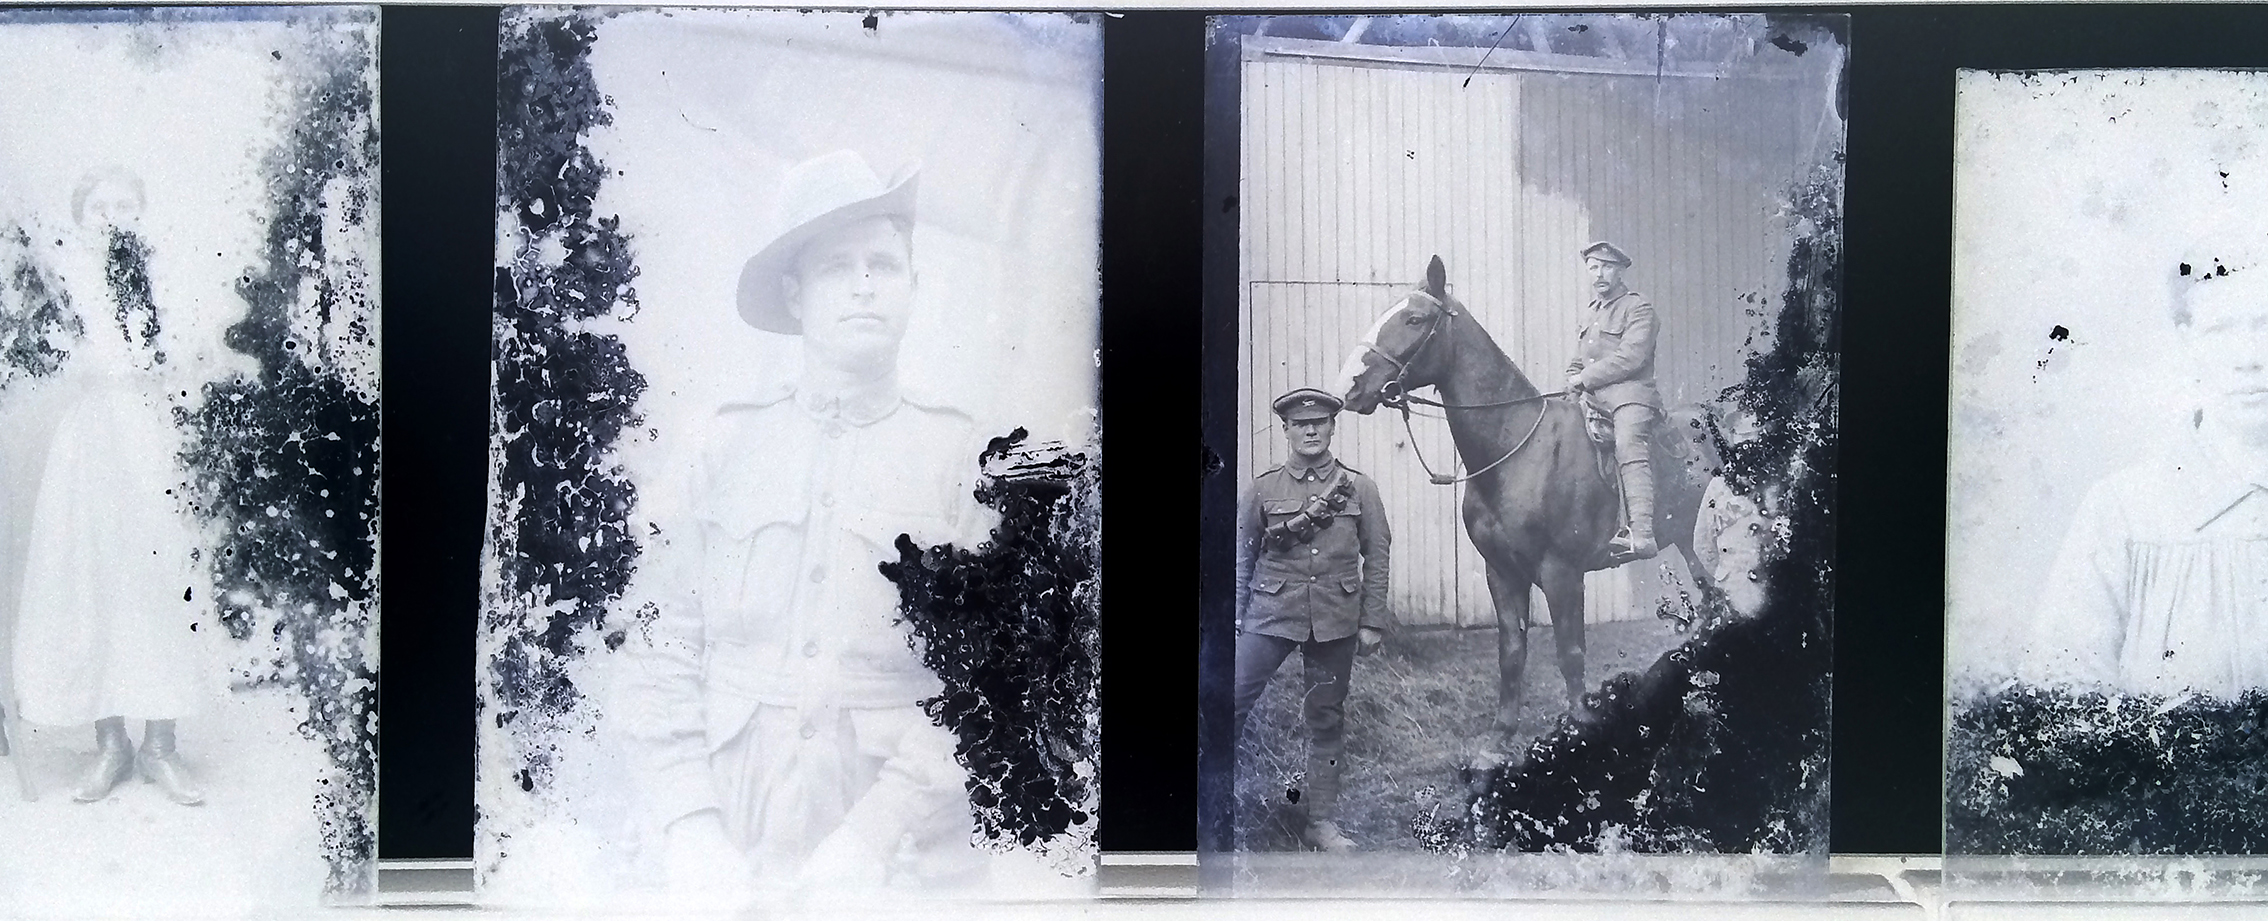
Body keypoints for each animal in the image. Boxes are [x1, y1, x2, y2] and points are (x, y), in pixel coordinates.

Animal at [1333, 255, 1705, 753]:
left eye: (1414, 319)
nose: (1348, 388)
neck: (1517, 449)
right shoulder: (1502, 572)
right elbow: (1511, 651)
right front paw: (1504, 726)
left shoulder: (1562, 572)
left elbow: (1571, 651)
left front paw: (1581, 723)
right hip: (1689, 540)